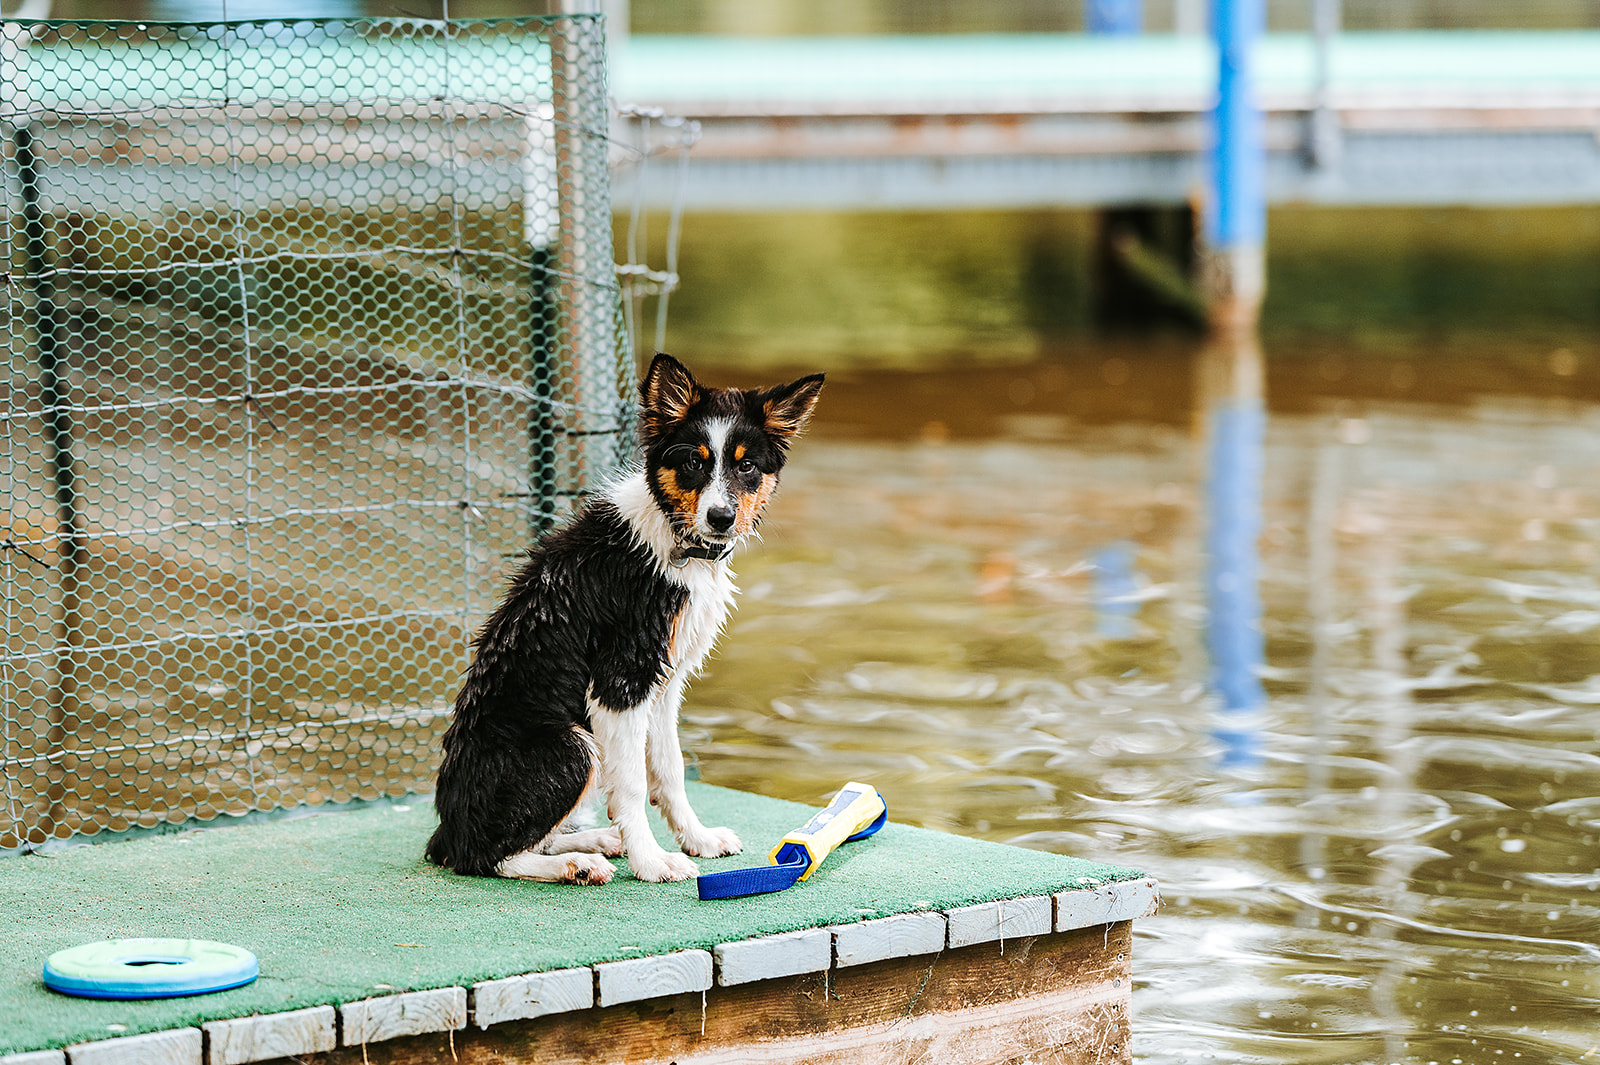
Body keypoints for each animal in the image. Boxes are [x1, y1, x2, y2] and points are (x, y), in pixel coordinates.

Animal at [425, 351, 825, 882]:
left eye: (748, 467)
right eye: (693, 462)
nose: (721, 518)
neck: (677, 540)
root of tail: (446, 832)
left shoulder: (665, 682)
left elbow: (670, 768)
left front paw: (696, 840)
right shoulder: (621, 680)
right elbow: (632, 783)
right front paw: (653, 862)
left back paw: (595, 841)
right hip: (571, 745)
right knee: (487, 857)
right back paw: (576, 863)